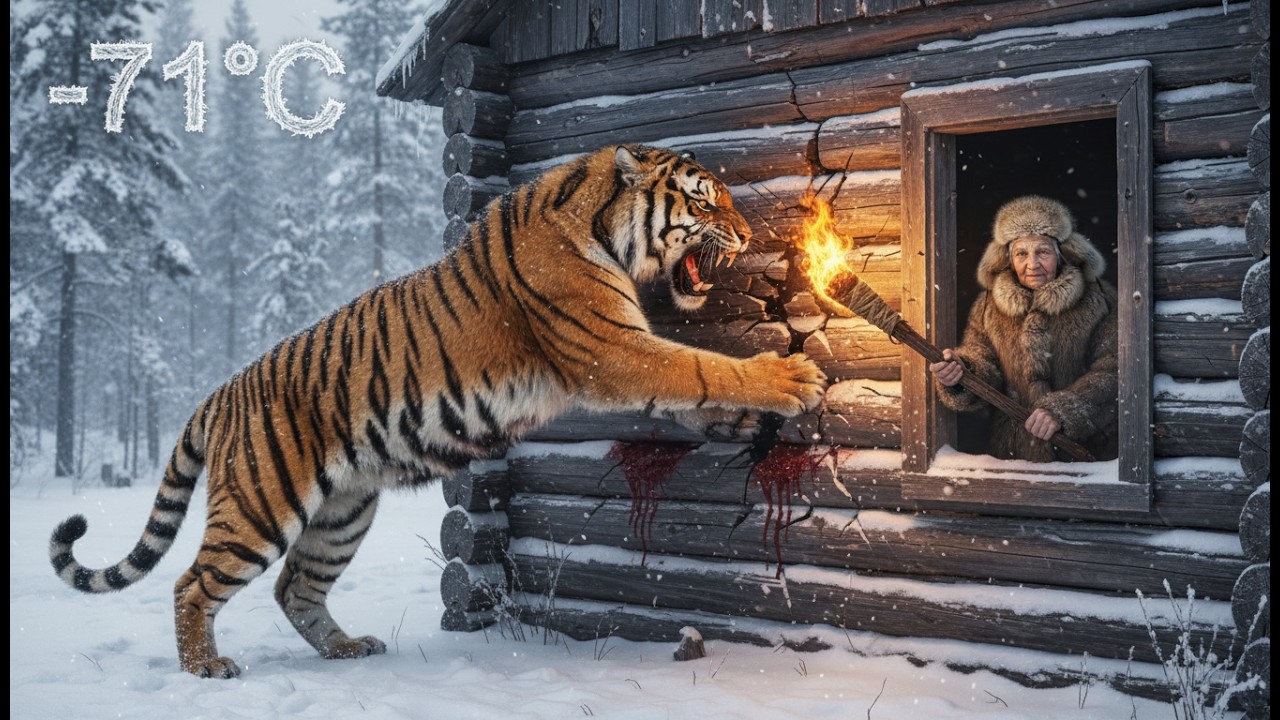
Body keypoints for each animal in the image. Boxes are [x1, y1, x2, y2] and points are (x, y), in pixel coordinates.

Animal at [48, 144, 827, 678]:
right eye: (705, 204)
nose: (748, 236)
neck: (601, 221)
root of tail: (219, 393)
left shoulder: (622, 353)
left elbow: (699, 394)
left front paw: (756, 419)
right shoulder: (614, 352)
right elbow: (701, 366)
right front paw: (789, 375)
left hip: (343, 512)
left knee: (295, 586)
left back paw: (345, 648)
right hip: (261, 505)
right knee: (192, 582)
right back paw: (205, 667)